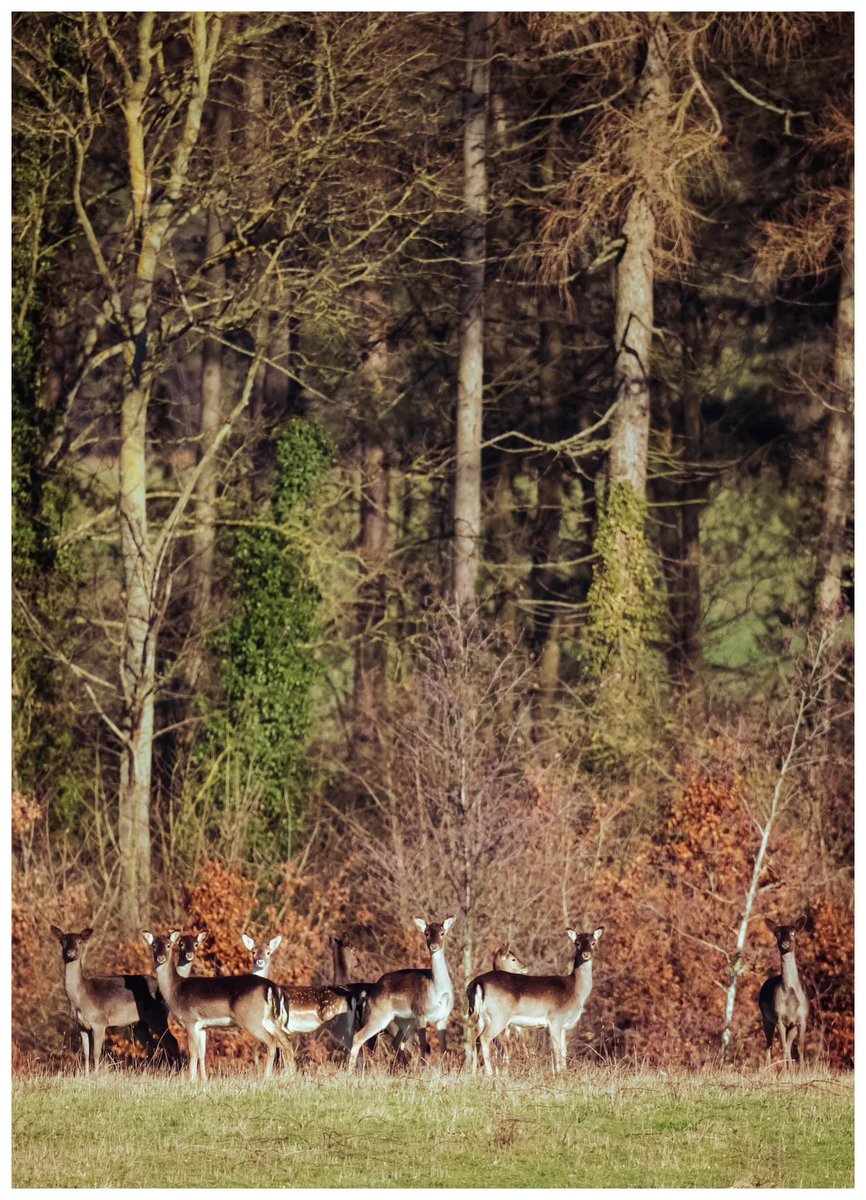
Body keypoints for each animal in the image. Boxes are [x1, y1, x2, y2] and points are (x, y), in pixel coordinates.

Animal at [49, 921, 181, 1075]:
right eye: (62, 941)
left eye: (80, 941)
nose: (70, 952)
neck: (81, 999)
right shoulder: (81, 1026)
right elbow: (86, 1053)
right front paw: (86, 1076)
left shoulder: (99, 1022)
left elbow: (96, 1053)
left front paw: (96, 1075)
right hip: (138, 1023)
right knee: (151, 1045)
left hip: (158, 1016)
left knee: (172, 1041)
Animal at [139, 926, 291, 1080]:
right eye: (153, 946)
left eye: (169, 945)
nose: (160, 957)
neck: (174, 989)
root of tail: (271, 986)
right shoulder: (202, 1026)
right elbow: (201, 1052)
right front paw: (203, 1080)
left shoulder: (190, 1020)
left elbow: (192, 1051)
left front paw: (191, 1080)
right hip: (268, 1019)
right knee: (282, 1040)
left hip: (251, 1019)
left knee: (272, 1041)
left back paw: (266, 1077)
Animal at [345, 912, 455, 1075]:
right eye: (426, 933)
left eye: (442, 933)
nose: (433, 946)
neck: (437, 989)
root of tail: (369, 994)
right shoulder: (421, 1013)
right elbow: (424, 1045)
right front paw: (423, 1070)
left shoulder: (443, 1017)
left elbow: (443, 1047)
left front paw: (446, 1071)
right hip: (378, 1016)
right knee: (358, 1036)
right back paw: (350, 1072)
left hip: (405, 1022)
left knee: (396, 1041)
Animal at [465, 926, 599, 1080]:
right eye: (577, 943)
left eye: (593, 942)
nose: (586, 954)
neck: (575, 991)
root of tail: (477, 983)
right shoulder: (555, 1019)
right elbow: (557, 1049)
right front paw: (558, 1074)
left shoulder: (563, 1026)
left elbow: (564, 1050)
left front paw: (564, 1072)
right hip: (499, 1016)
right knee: (485, 1038)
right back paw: (490, 1074)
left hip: (480, 1017)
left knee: (476, 1040)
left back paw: (473, 1074)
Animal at [758, 912, 806, 1075]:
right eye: (777, 934)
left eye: (793, 933)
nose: (785, 944)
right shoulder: (779, 1018)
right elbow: (783, 1046)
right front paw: (787, 1071)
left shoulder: (802, 1018)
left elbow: (799, 1047)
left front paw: (803, 1071)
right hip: (766, 1018)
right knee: (769, 1044)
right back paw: (767, 1070)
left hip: (791, 1026)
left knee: (788, 1044)